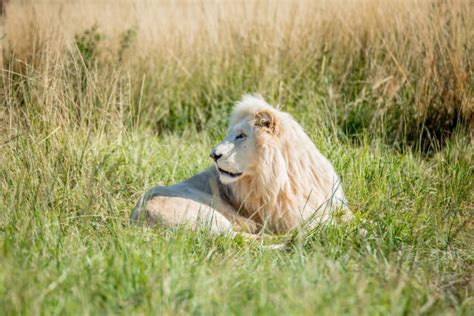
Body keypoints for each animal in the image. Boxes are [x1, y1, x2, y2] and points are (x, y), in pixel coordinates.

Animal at [131, 94, 354, 235]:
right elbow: (321, 223)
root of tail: (137, 218)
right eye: (230, 134)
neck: (288, 176)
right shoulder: (285, 218)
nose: (213, 155)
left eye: (241, 136)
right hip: (208, 212)